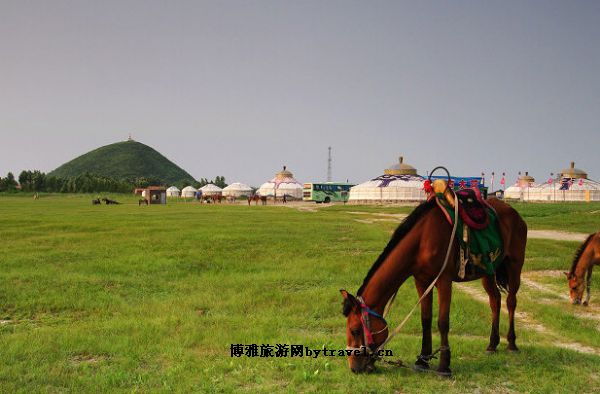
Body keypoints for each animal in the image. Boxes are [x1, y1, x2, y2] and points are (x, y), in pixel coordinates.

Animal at [340, 197, 528, 376]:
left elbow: (442, 322)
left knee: (511, 301)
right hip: (488, 271)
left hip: (514, 265)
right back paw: (492, 344)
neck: (422, 240)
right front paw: (422, 360)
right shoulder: (422, 282)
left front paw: (444, 366)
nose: (353, 368)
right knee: (495, 301)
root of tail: (514, 212)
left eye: (355, 330)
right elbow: (426, 319)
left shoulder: (444, 281)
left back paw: (512, 343)